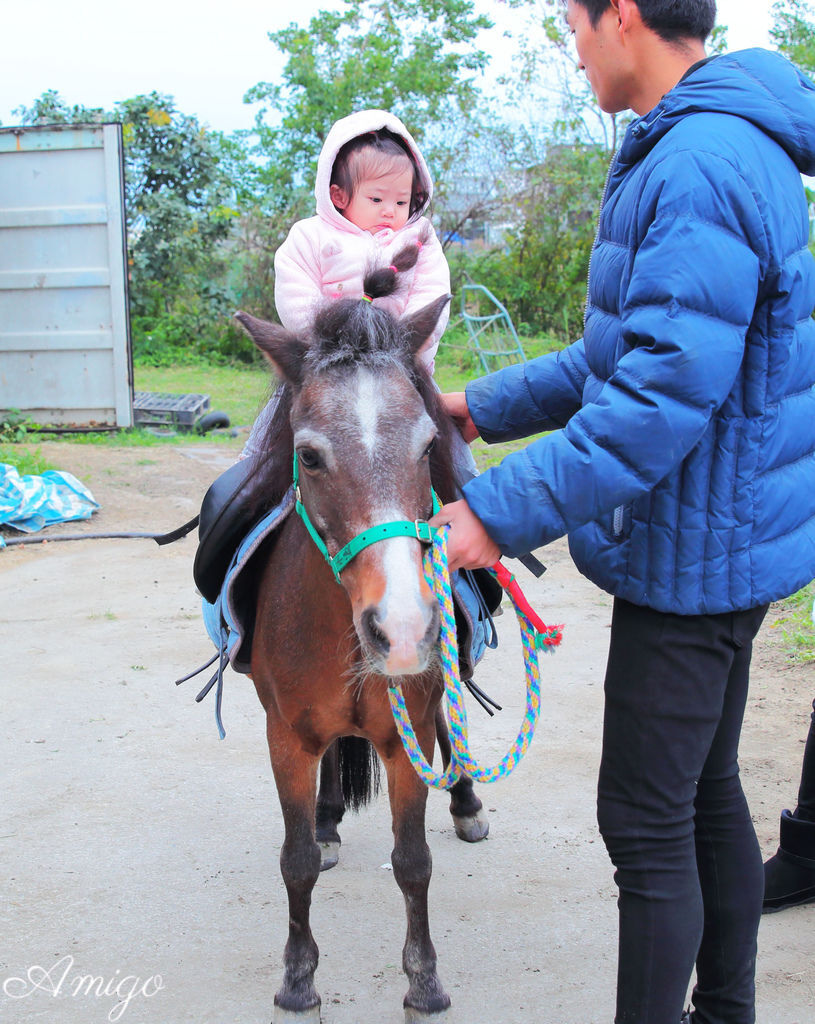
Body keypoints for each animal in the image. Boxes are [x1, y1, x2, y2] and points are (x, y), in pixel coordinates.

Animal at [235, 272, 487, 1024]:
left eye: (429, 445)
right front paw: (298, 981)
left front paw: (424, 983)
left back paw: (467, 805)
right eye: (309, 455)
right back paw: (327, 824)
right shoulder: (285, 736)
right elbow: (293, 862)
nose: (402, 628)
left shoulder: (408, 738)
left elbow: (413, 862)